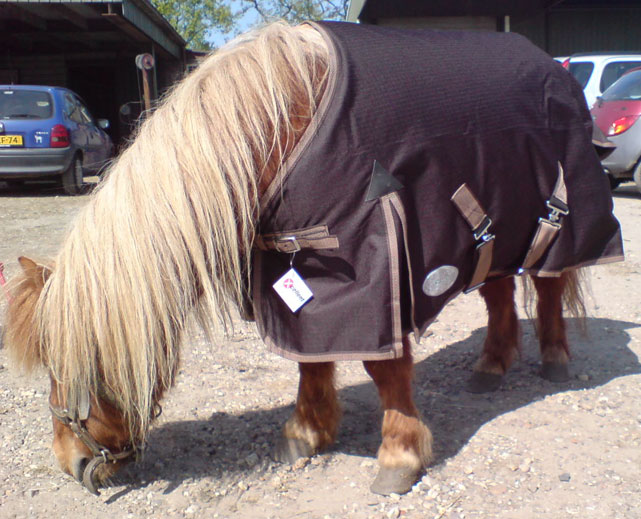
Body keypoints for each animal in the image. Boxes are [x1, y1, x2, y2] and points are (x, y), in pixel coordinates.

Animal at [3, 22, 584, 498]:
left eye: (65, 367)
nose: (71, 464)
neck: (280, 128)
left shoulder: (375, 266)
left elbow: (383, 365)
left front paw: (399, 454)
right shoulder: (297, 264)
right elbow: (310, 356)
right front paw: (308, 432)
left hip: (551, 222)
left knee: (548, 285)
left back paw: (555, 360)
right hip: (491, 231)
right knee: (498, 289)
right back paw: (491, 365)